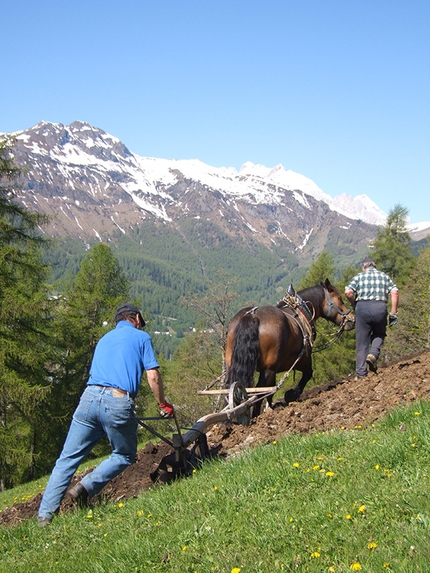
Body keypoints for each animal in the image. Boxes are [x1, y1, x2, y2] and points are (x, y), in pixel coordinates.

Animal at [223, 278, 354, 412]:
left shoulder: (275, 369)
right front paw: (292, 394)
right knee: (258, 394)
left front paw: (271, 407)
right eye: (339, 298)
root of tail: (252, 315)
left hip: (233, 365)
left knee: (230, 390)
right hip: (268, 370)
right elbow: (308, 374)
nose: (351, 319)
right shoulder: (303, 358)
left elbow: (271, 392)